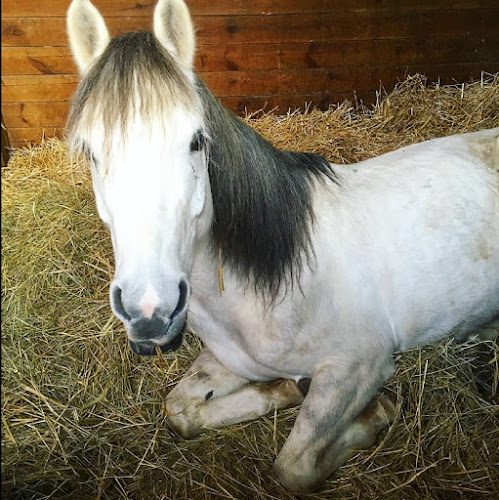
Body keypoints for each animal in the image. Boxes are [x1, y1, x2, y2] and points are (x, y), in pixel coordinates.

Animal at [67, 0, 499, 492]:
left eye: (196, 140)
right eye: (90, 152)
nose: (149, 309)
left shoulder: (358, 368)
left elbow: (294, 467)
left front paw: (376, 413)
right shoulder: (230, 358)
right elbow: (179, 410)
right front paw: (282, 389)